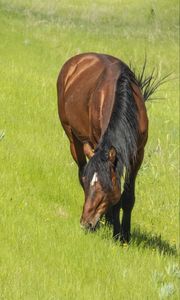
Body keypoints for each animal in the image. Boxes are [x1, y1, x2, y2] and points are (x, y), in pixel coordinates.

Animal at [57, 52, 167, 243]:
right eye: (89, 185)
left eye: (104, 187)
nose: (85, 223)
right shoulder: (96, 144)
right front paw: (116, 233)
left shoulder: (137, 155)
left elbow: (128, 197)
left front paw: (125, 235)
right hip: (73, 139)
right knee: (80, 167)